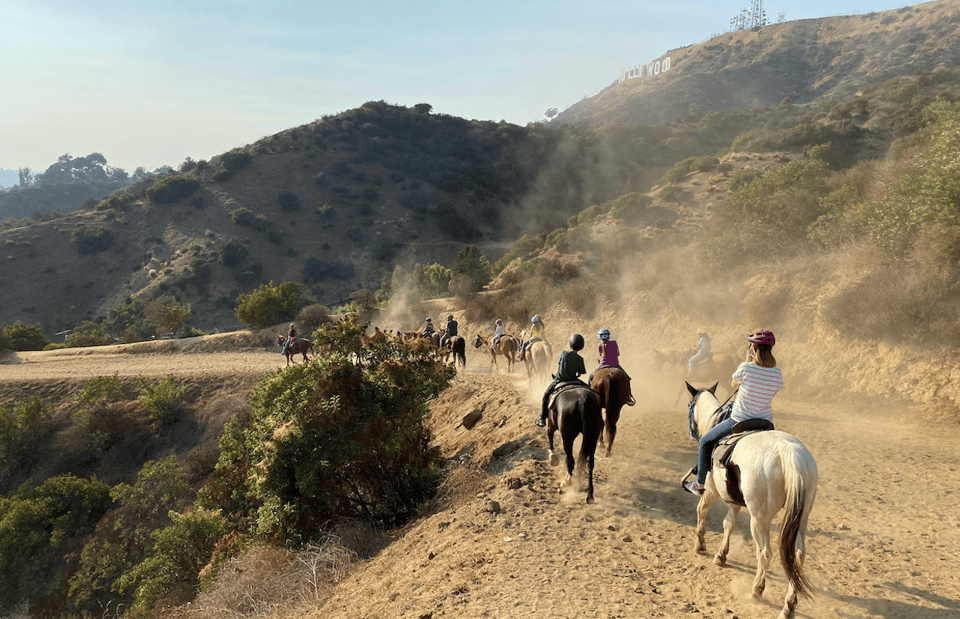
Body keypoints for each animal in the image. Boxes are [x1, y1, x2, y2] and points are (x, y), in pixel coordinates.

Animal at [684, 382, 816, 619]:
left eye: (690, 406)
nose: (690, 433)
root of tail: (790, 455)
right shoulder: (735, 501)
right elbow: (728, 524)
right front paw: (721, 555)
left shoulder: (711, 491)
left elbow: (702, 510)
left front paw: (700, 545)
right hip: (802, 517)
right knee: (799, 555)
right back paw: (789, 604)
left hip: (759, 518)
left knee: (765, 553)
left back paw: (757, 590)